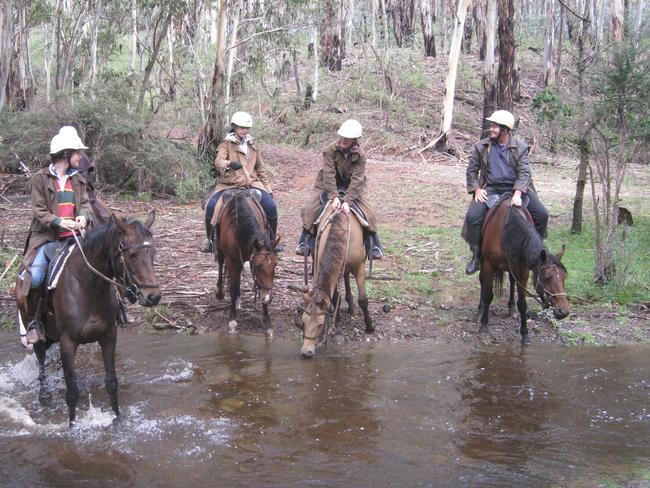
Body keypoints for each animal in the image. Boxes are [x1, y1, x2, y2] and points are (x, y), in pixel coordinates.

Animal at [15, 212, 160, 426]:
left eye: (153, 253)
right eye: (132, 255)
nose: (154, 297)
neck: (87, 286)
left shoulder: (108, 336)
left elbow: (111, 382)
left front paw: (117, 418)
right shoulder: (68, 341)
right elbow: (72, 392)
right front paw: (72, 426)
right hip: (33, 324)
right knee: (40, 358)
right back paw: (44, 395)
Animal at [213, 190, 278, 336]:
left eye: (275, 264)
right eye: (258, 266)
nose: (268, 298)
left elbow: (259, 288)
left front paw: (268, 321)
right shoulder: (233, 261)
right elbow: (233, 289)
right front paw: (232, 319)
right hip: (221, 251)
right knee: (220, 262)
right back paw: (221, 292)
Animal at [294, 204, 370, 356]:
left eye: (320, 324)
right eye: (303, 321)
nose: (306, 352)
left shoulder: (359, 267)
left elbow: (363, 299)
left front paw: (370, 327)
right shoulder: (332, 269)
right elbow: (334, 299)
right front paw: (338, 326)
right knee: (345, 278)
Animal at [476, 196, 568, 346]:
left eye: (564, 277)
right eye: (547, 277)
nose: (564, 311)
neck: (508, 232)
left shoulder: (522, 271)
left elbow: (522, 303)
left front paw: (525, 334)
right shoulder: (489, 266)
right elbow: (488, 296)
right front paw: (484, 326)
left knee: (512, 281)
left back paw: (511, 308)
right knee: (482, 281)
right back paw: (480, 310)